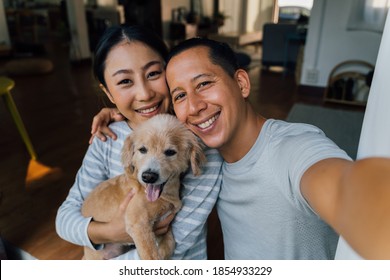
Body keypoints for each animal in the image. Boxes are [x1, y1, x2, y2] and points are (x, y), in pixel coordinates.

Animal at [81, 114, 206, 260]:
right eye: (142, 150)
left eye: (170, 152)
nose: (148, 176)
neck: (166, 196)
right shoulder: (138, 223)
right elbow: (151, 255)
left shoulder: (164, 226)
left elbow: (169, 245)